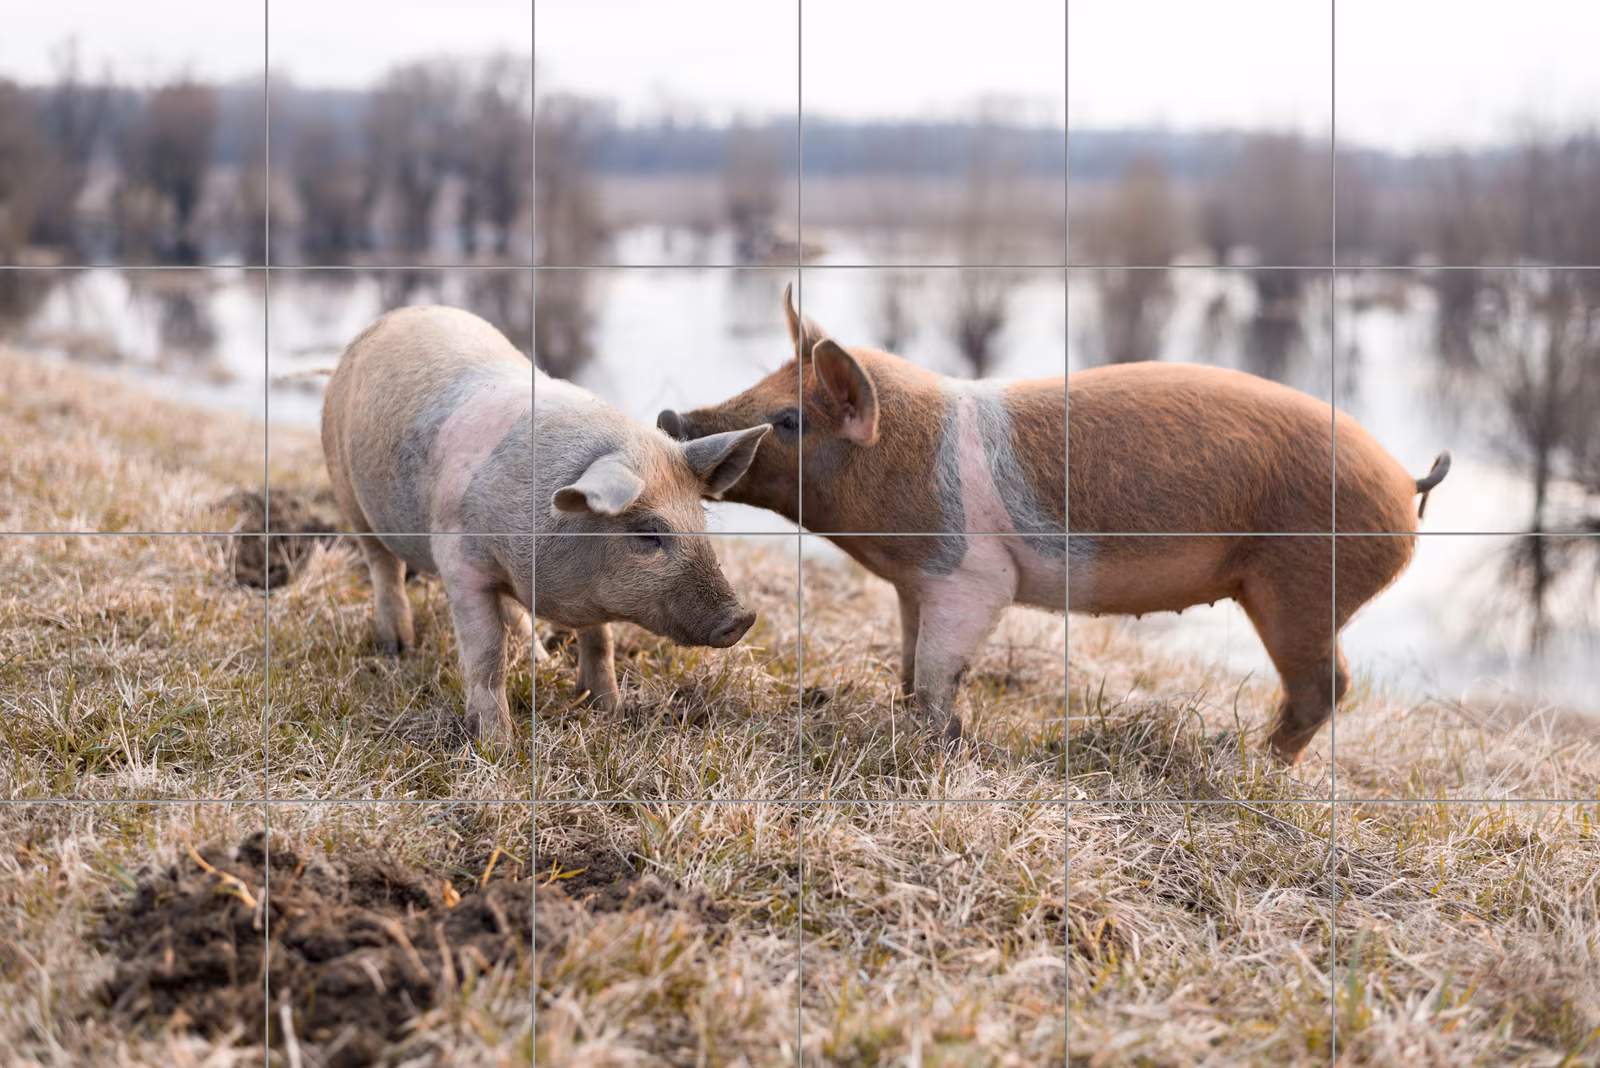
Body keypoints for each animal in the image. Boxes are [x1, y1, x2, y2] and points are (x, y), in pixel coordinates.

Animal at [322, 305, 770, 744]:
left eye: (700, 518)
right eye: (648, 533)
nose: (742, 618)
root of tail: (394, 316)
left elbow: (601, 640)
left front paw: (609, 711)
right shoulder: (460, 562)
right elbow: (488, 653)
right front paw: (498, 746)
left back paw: (542, 659)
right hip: (349, 494)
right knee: (384, 565)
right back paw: (398, 648)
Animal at [658, 285, 1448, 765]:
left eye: (791, 420)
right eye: (759, 384)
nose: (672, 417)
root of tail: (1403, 481)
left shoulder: (974, 576)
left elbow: (939, 673)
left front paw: (941, 744)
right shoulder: (916, 585)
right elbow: (909, 666)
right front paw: (912, 721)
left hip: (1302, 585)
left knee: (1327, 685)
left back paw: (1252, 763)